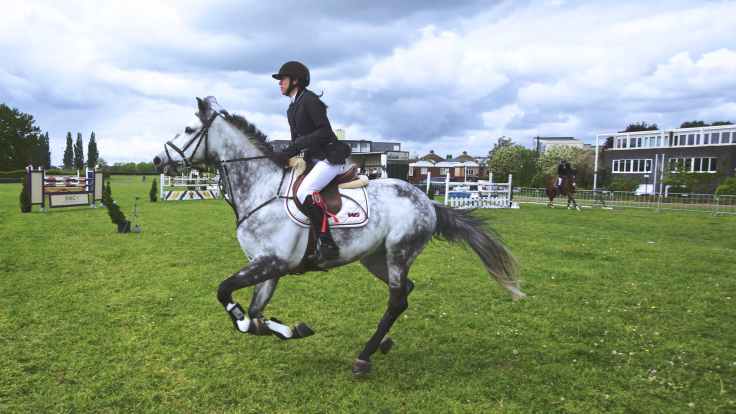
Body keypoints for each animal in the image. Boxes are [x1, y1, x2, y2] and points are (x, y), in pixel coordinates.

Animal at [153, 97, 525, 376]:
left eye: (189, 129)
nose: (157, 159)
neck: (261, 189)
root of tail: (427, 201)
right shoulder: (269, 267)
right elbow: (255, 316)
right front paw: (289, 329)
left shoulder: (271, 262)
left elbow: (226, 293)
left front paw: (273, 324)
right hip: (375, 258)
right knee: (404, 291)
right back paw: (382, 344)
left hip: (398, 252)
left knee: (397, 299)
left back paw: (364, 356)